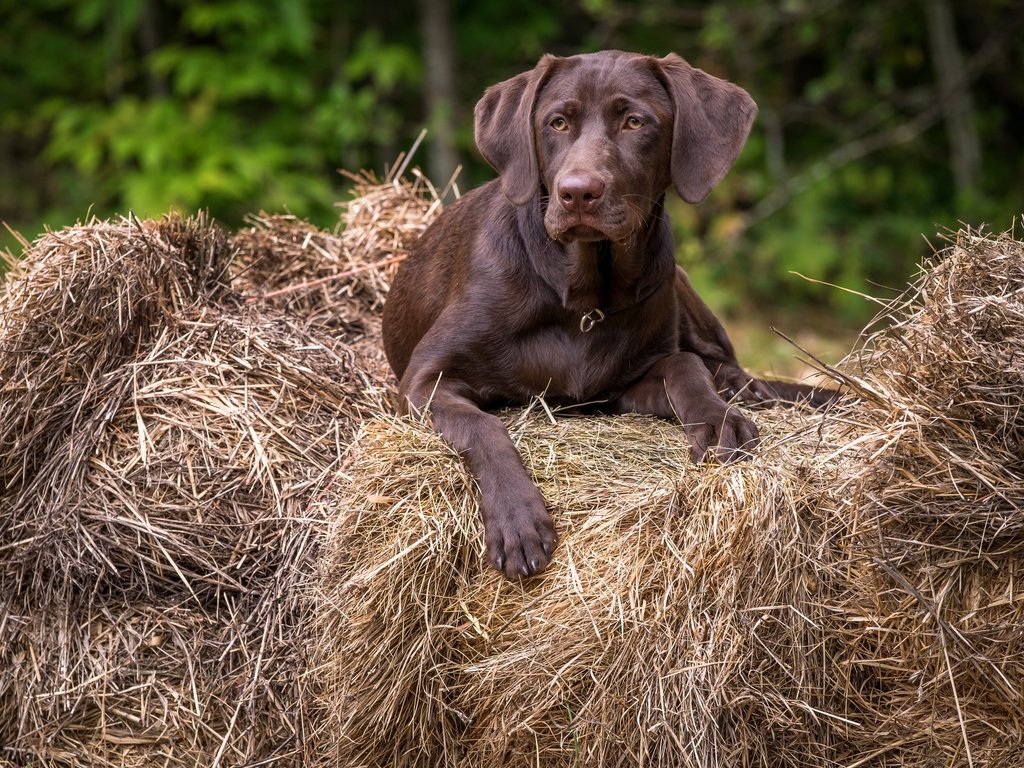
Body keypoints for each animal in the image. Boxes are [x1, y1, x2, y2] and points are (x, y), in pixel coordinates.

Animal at [385, 52, 831, 581]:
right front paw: (518, 519)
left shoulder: (619, 387)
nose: (577, 192)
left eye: (634, 121)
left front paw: (718, 417)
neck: (581, 298)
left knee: (719, 358)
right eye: (557, 122)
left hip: (676, 279)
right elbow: (485, 428)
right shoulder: (424, 380)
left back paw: (745, 388)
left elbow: (684, 365)